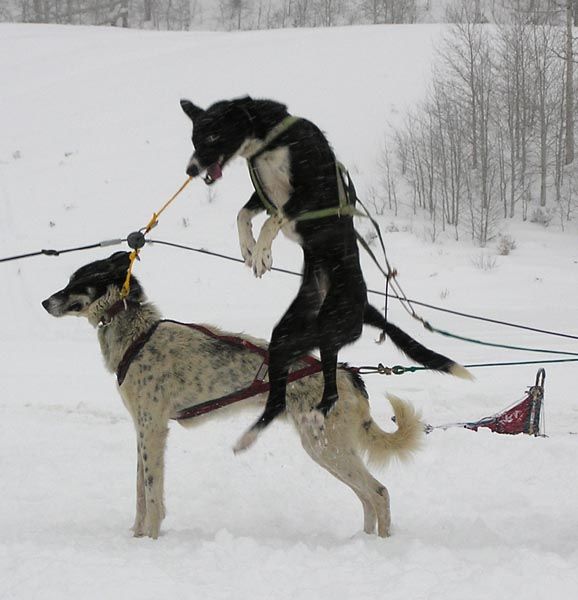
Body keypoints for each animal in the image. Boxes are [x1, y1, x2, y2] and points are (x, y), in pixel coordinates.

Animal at [42, 251, 420, 540]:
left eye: (78, 281)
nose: (45, 302)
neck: (138, 336)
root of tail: (348, 374)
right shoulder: (142, 430)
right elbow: (139, 492)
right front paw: (136, 537)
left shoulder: (153, 429)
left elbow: (151, 494)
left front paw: (150, 540)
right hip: (327, 449)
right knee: (366, 498)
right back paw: (363, 541)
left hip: (326, 447)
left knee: (379, 493)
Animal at [180, 95, 468, 450]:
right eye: (194, 139)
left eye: (212, 136)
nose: (191, 170)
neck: (271, 139)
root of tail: (365, 306)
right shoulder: (262, 194)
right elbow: (242, 214)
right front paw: (249, 247)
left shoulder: (308, 192)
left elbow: (273, 218)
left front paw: (262, 251)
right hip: (285, 338)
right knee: (277, 401)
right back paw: (249, 436)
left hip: (330, 330)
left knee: (330, 390)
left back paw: (318, 414)